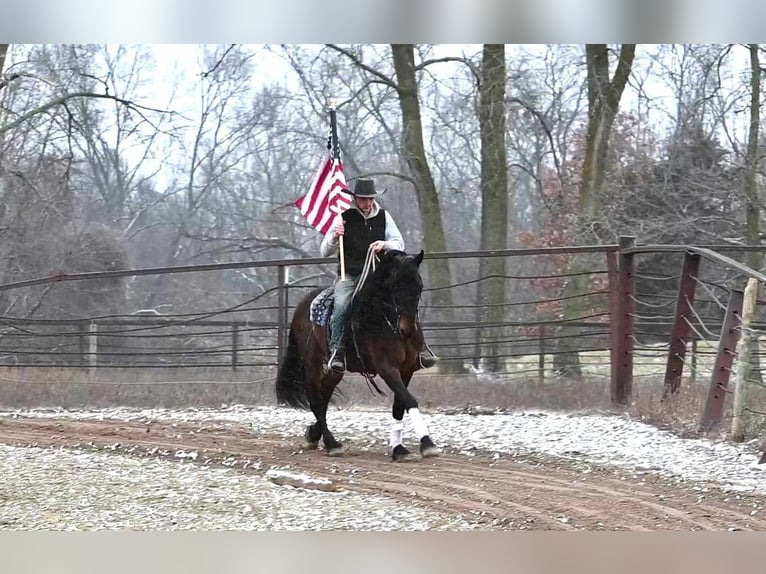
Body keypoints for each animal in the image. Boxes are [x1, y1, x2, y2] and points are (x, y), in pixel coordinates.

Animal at [278, 250, 444, 462]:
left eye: (419, 286)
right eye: (395, 286)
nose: (407, 330)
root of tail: (303, 304)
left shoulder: (407, 370)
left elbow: (399, 405)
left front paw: (399, 449)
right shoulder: (387, 368)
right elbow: (409, 400)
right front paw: (427, 443)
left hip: (336, 369)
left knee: (324, 394)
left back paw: (314, 435)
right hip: (312, 363)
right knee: (315, 398)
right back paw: (332, 444)